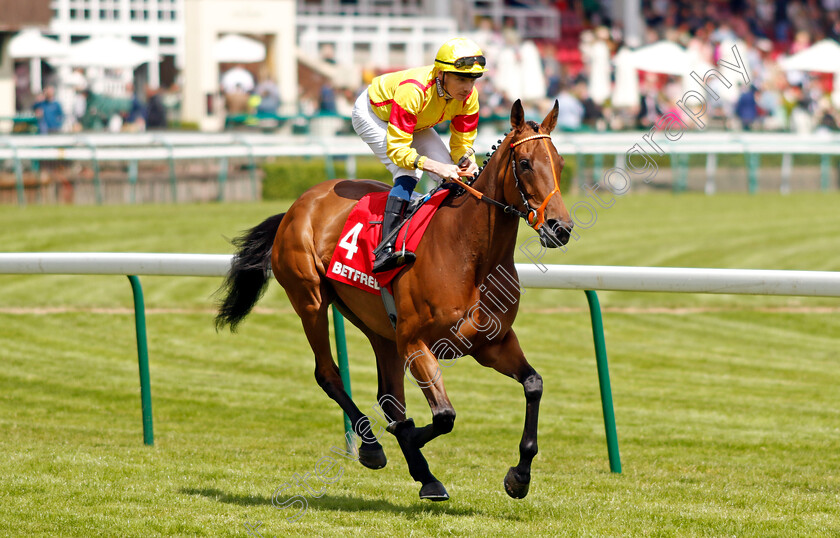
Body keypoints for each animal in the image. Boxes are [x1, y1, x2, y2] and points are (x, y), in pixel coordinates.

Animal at [213, 99, 576, 498]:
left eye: (559, 163)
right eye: (525, 163)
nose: (560, 228)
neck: (470, 256)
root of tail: (299, 204)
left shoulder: (491, 344)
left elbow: (533, 385)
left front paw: (519, 475)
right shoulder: (416, 342)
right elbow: (443, 417)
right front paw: (409, 436)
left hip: (380, 330)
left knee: (390, 397)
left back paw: (425, 475)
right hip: (310, 300)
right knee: (329, 374)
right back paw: (374, 447)